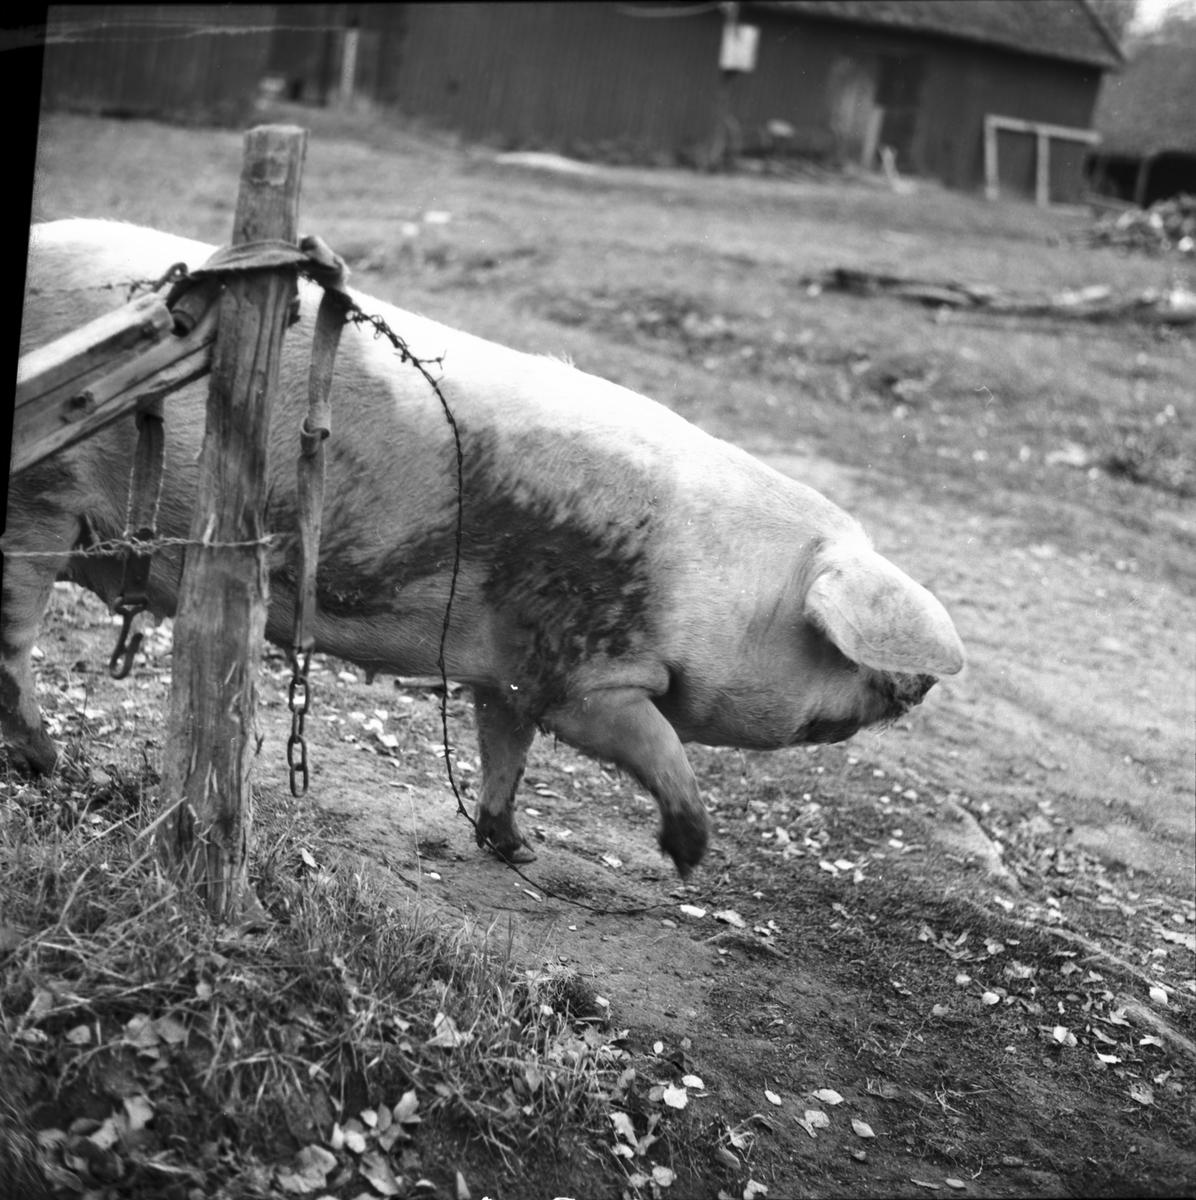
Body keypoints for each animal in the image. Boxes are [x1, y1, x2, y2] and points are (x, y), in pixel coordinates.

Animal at [3, 219, 964, 876]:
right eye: (836, 646)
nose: (918, 684)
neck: (723, 585)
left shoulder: (510, 669)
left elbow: (507, 749)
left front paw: (516, 848)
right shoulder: (585, 665)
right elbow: (653, 742)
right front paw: (690, 858)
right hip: (41, 501)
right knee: (13, 646)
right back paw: (48, 765)